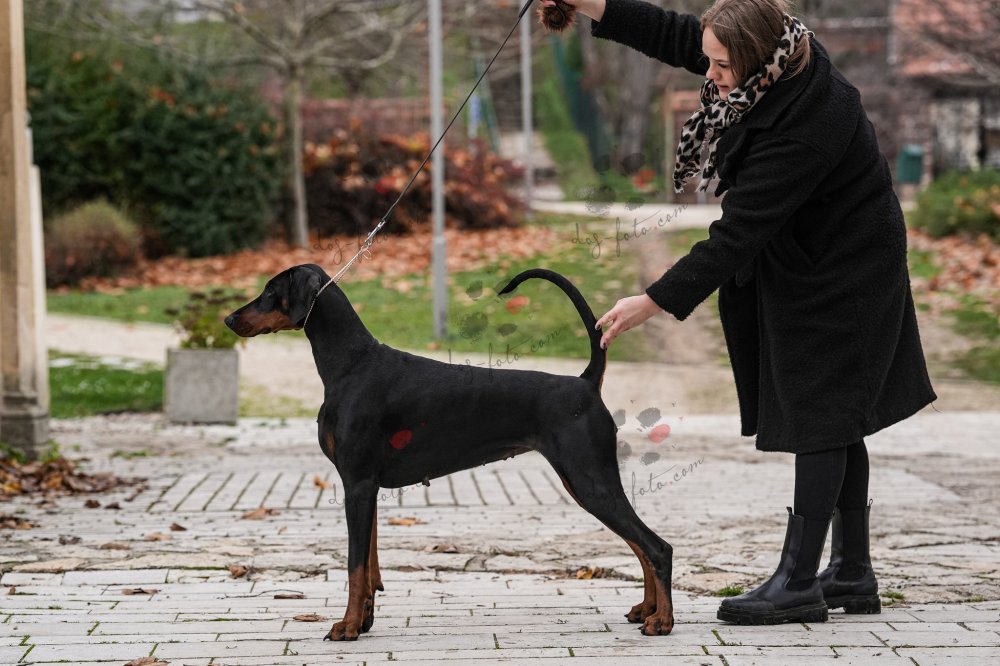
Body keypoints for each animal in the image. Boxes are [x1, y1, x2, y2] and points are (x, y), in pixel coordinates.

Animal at [225, 264, 674, 640]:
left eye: (270, 292)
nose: (229, 319)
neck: (350, 363)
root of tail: (585, 383)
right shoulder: (367, 488)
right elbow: (369, 564)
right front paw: (365, 620)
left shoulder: (356, 483)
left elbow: (354, 566)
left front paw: (348, 626)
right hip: (586, 481)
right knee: (641, 546)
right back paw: (646, 610)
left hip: (588, 479)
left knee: (656, 547)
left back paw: (662, 621)